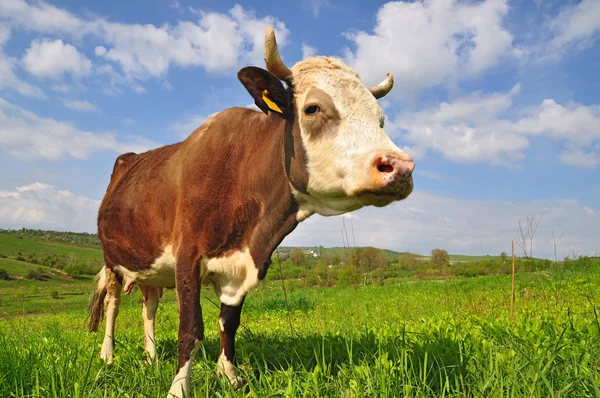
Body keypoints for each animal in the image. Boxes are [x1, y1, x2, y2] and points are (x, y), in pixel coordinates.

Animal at [89, 26, 414, 396]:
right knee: (113, 304)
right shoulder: (187, 256)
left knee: (149, 306)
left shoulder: (244, 264)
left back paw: (151, 357)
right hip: (111, 259)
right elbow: (191, 328)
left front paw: (228, 375)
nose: (400, 167)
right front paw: (178, 388)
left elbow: (229, 322)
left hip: (148, 266)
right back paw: (108, 356)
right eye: (313, 108)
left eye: (381, 119)